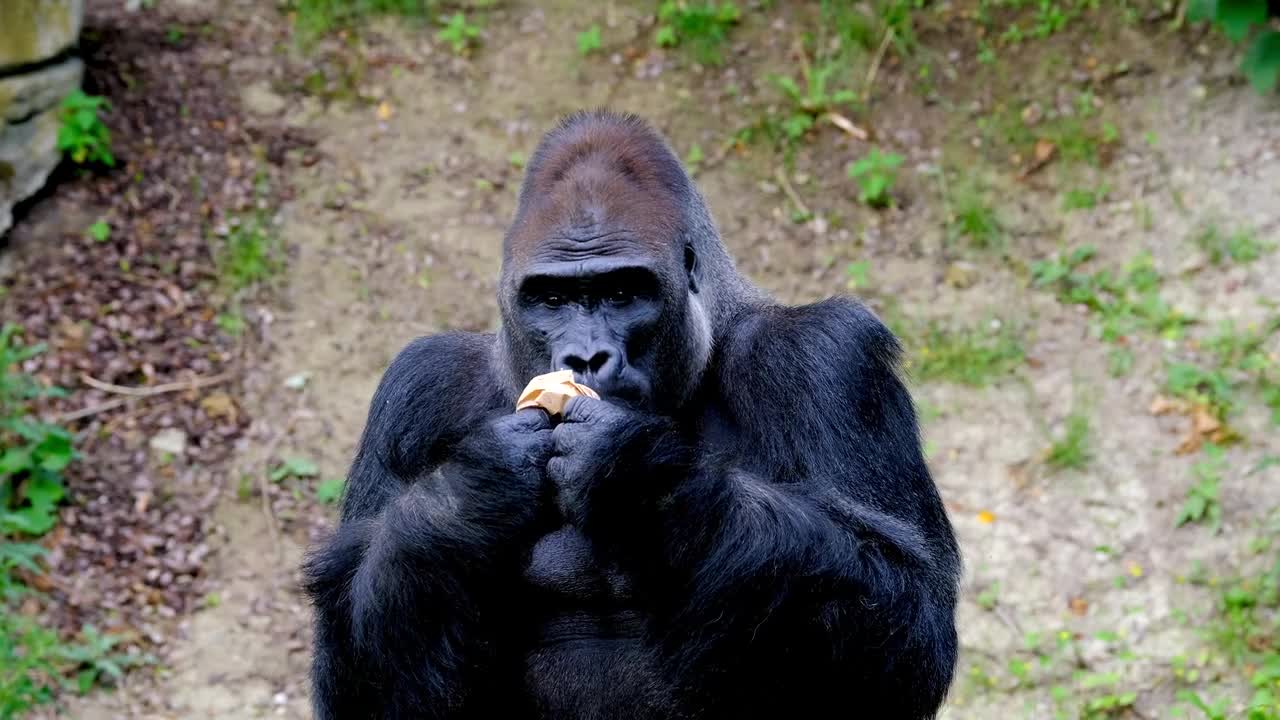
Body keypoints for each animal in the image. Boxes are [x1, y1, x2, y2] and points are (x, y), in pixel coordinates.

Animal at [302, 107, 962, 717]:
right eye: (551, 298)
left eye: (622, 292)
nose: (586, 358)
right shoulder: (416, 389)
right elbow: (355, 662)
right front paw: (467, 495)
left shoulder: (829, 357)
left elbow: (905, 620)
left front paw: (636, 477)